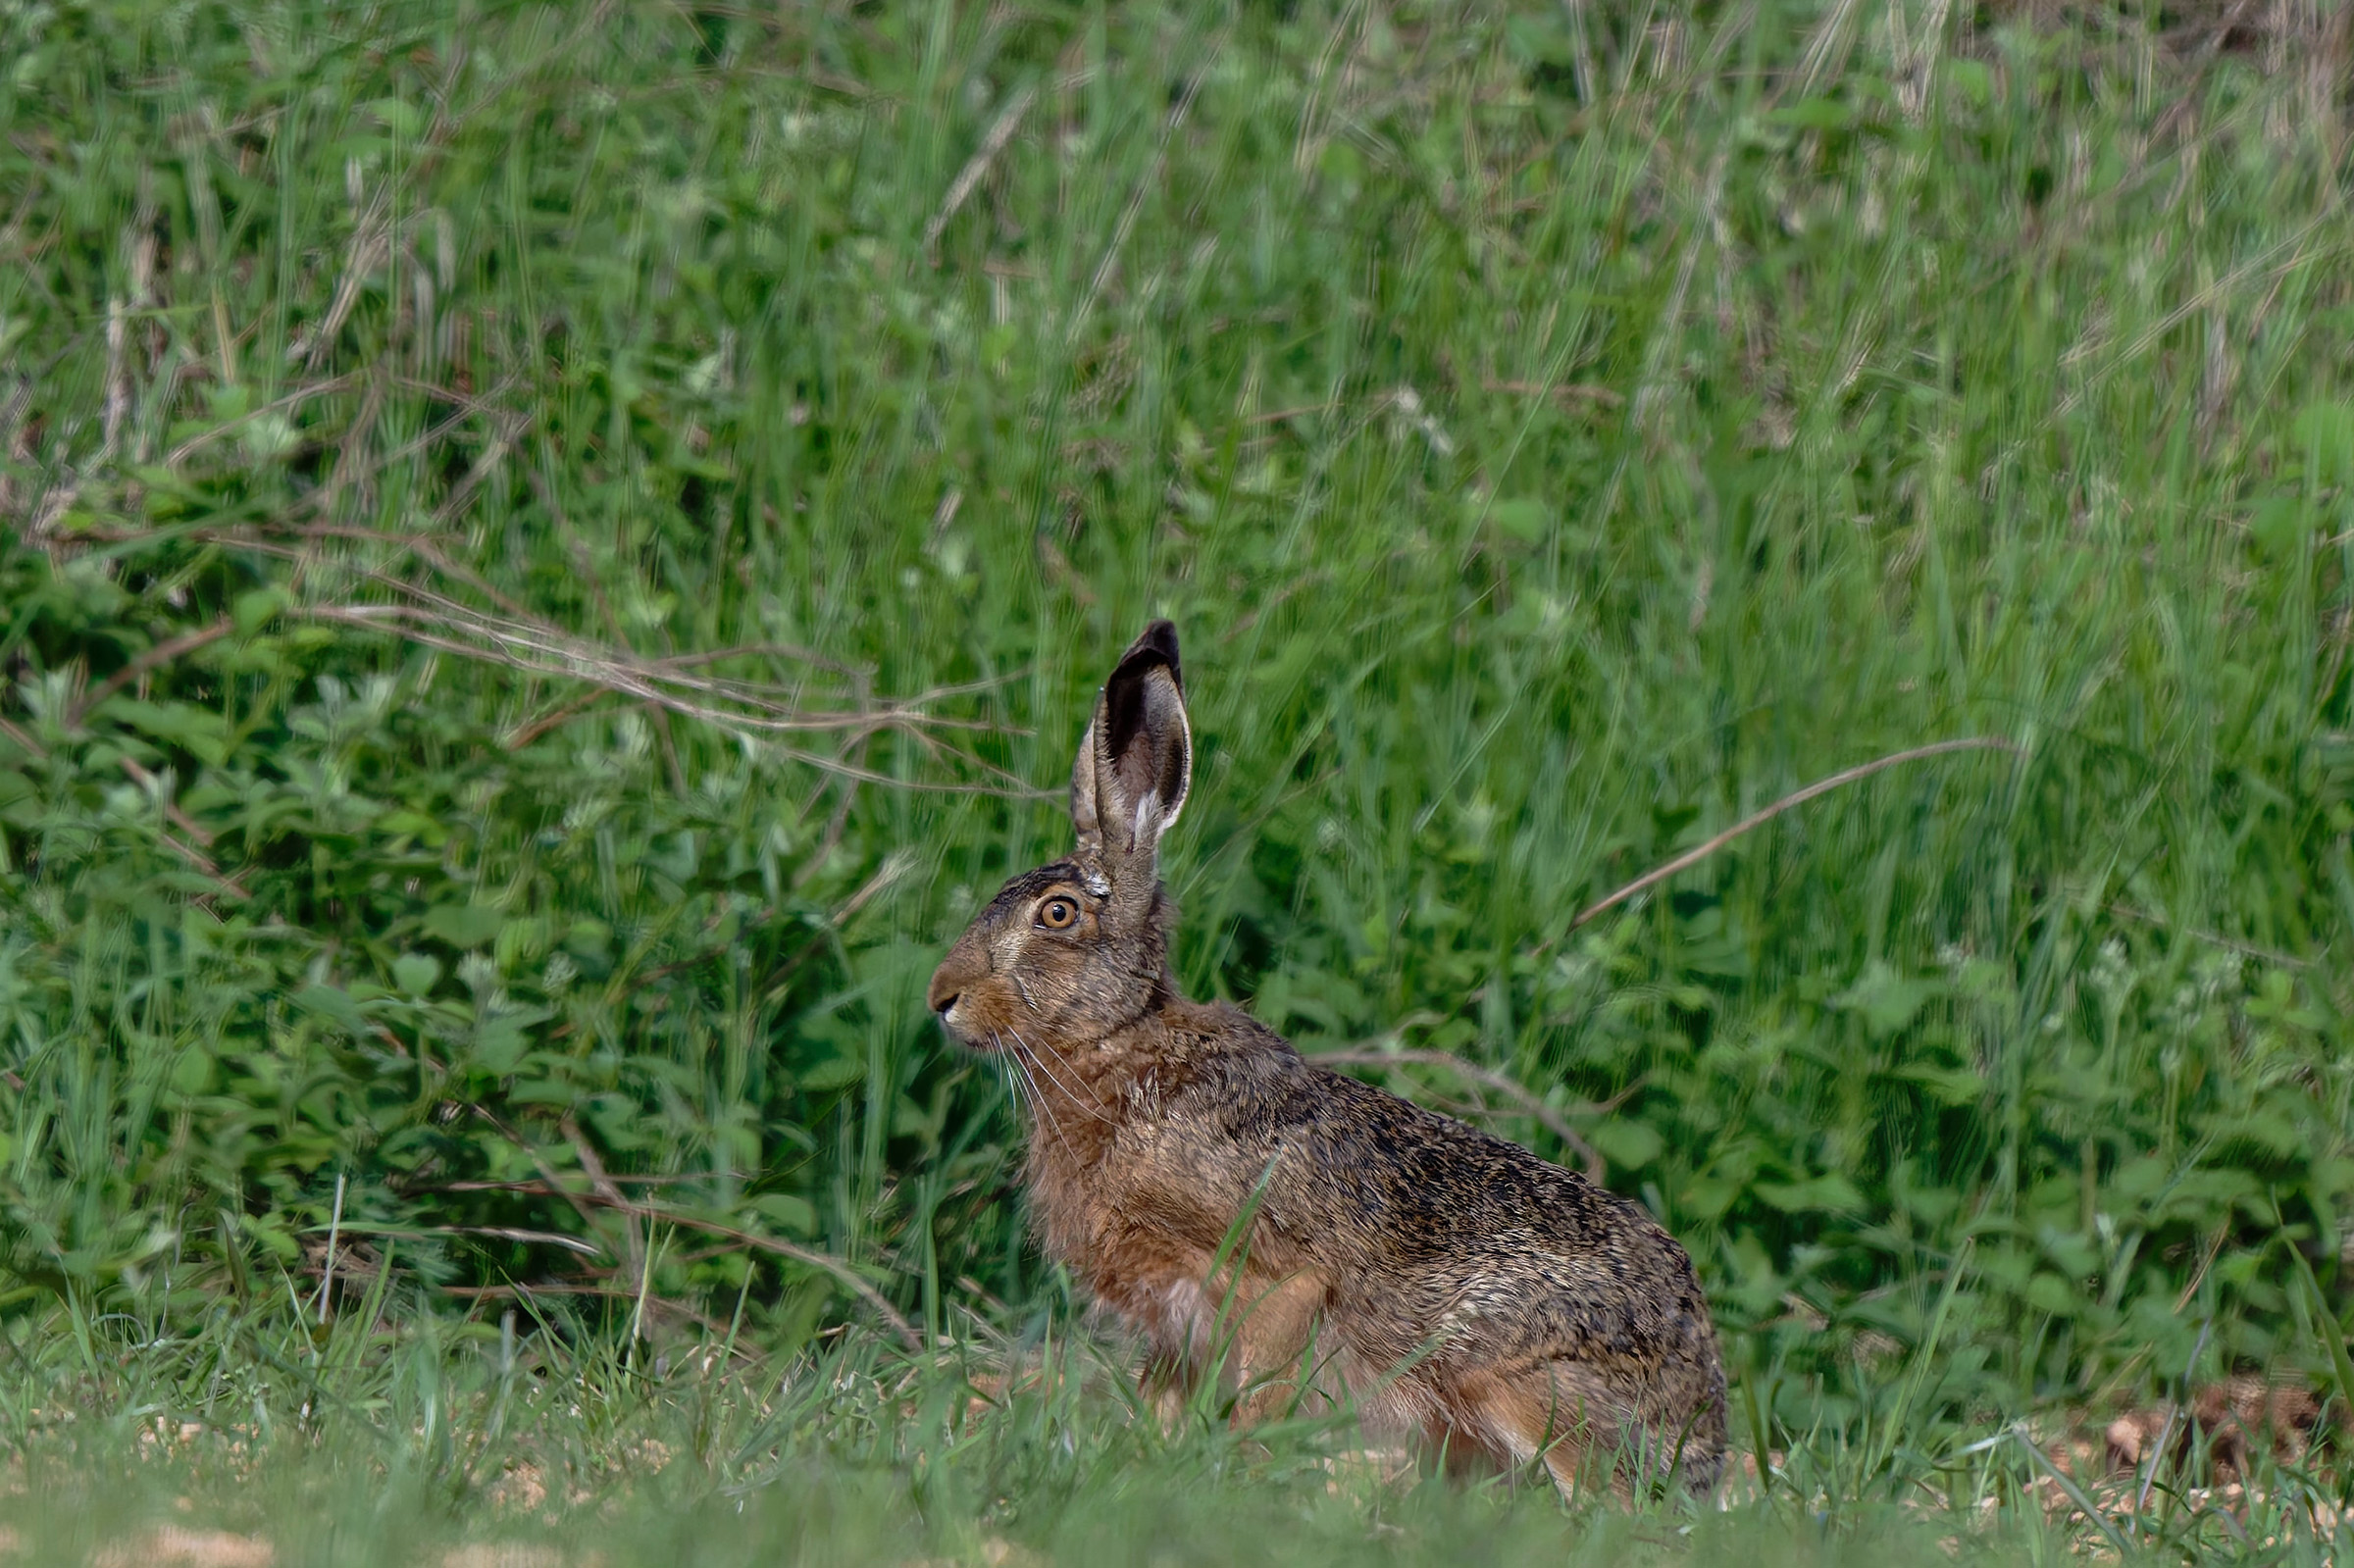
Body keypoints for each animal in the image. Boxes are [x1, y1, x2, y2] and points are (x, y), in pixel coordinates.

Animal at [927, 621, 1727, 1495]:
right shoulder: (1173, 1328)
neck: (1120, 1046)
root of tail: (1701, 1416)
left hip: (1511, 1373)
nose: (941, 997)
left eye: (1058, 914)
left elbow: (1260, 1394)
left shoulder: (1278, 1278)